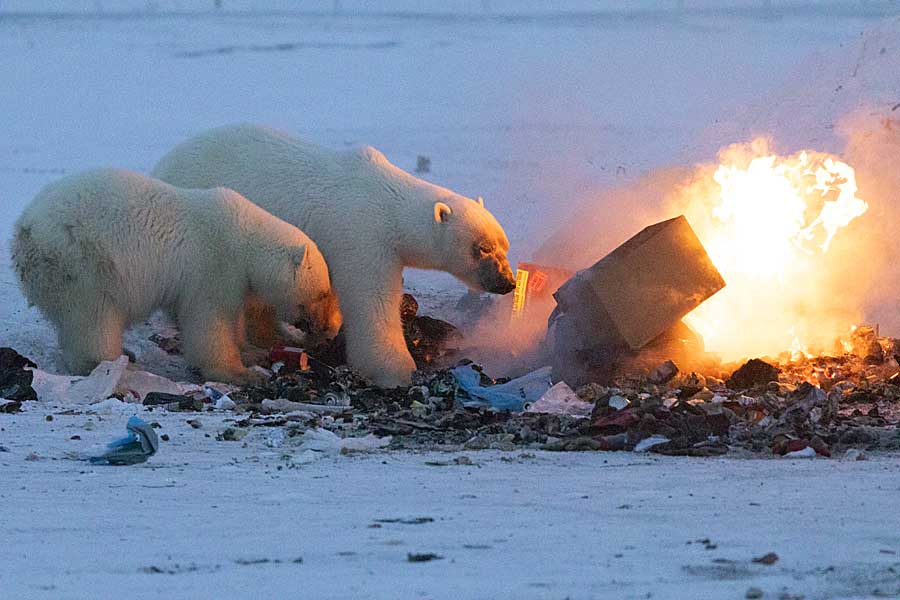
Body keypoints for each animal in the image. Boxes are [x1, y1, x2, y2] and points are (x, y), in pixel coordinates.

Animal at [10, 169, 342, 384]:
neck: (245, 236)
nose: (328, 329)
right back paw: (113, 363)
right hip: (83, 264)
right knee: (94, 318)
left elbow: (233, 316)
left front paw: (252, 353)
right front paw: (241, 373)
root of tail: (24, 232)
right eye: (323, 293)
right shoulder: (213, 264)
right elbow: (210, 320)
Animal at [153, 127, 512, 390]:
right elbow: (372, 300)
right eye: (481, 248)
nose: (507, 282)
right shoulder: (361, 235)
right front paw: (396, 370)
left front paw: (327, 328)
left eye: (504, 245)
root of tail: (161, 164)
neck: (390, 206)